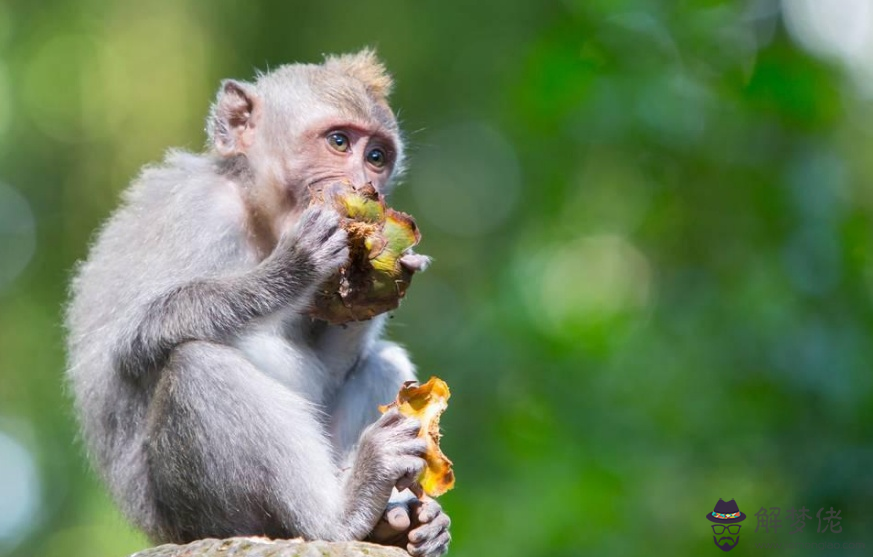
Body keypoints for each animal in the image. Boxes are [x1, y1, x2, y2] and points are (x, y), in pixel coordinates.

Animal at [63, 48, 450, 556]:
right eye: (340, 142)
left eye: (377, 156)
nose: (367, 184)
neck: (255, 214)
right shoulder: (200, 210)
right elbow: (135, 336)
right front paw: (293, 268)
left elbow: (330, 369)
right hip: (194, 515)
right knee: (198, 366)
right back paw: (343, 514)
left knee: (382, 362)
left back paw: (392, 523)